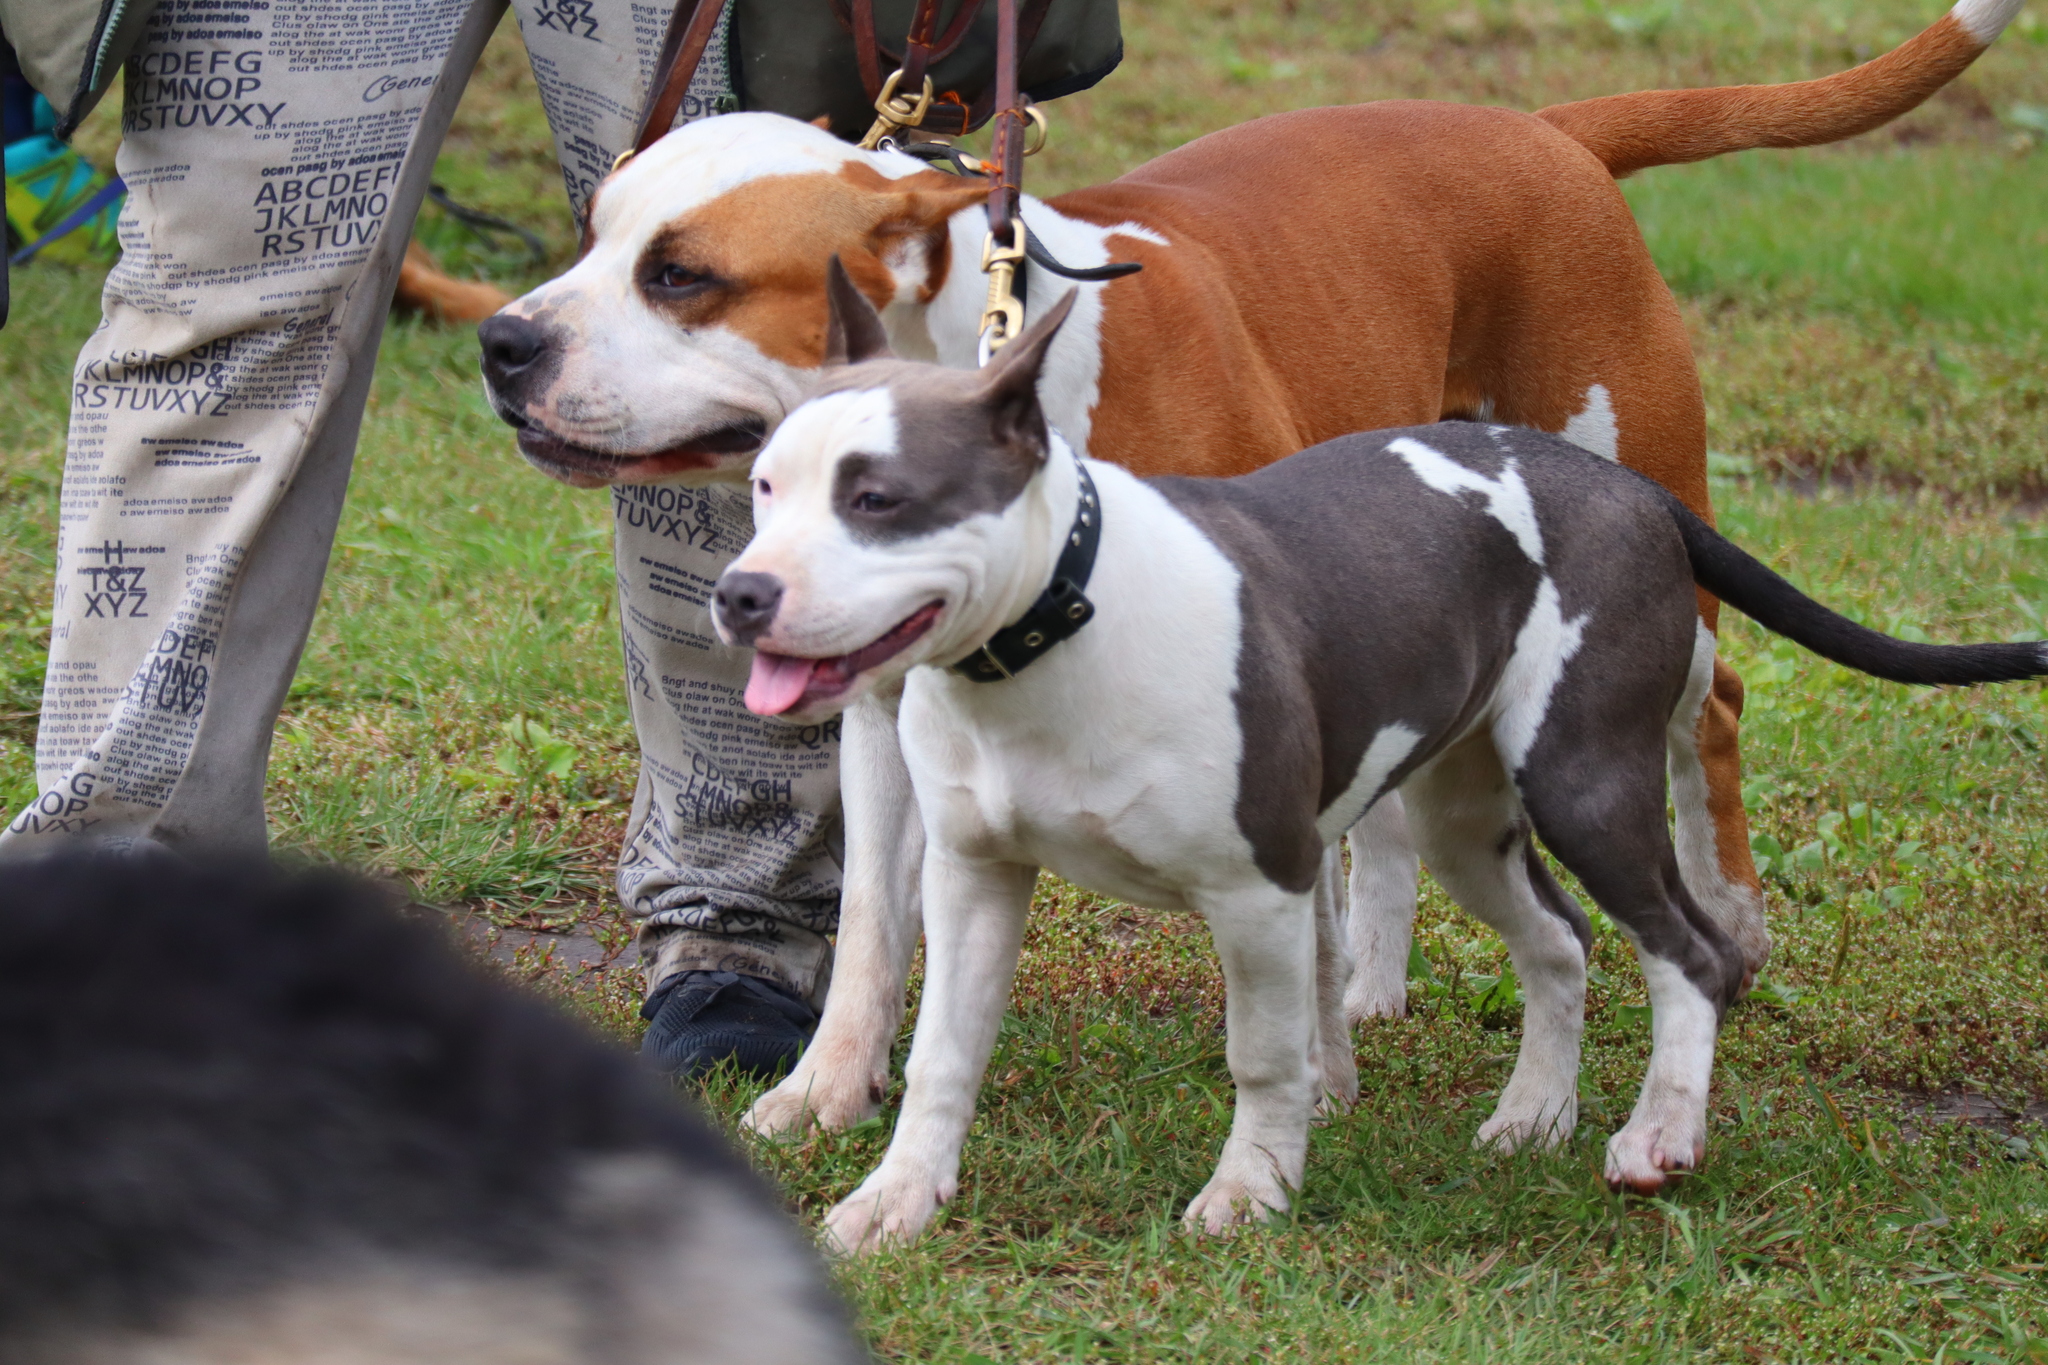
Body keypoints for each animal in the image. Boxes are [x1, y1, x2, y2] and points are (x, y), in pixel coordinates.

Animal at [483, 0, 2031, 1129]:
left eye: (682, 276)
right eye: (590, 235)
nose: (503, 342)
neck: (987, 355)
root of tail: (1543, 132)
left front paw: (1305, 1089)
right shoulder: (887, 714)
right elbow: (870, 931)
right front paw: (823, 1092)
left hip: (1634, 518)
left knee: (1710, 714)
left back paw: (1728, 919)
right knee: (1402, 808)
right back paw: (1382, 986)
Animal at [708, 263, 2048, 1252]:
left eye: (876, 499)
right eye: (763, 486)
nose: (738, 594)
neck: (1051, 630)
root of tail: (1626, 489)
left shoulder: (1259, 887)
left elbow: (1264, 1052)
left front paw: (1250, 1190)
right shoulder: (975, 879)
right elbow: (941, 1054)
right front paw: (895, 1198)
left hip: (1586, 780)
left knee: (1691, 952)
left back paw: (1657, 1134)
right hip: (1467, 819)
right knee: (1560, 941)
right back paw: (1534, 1112)